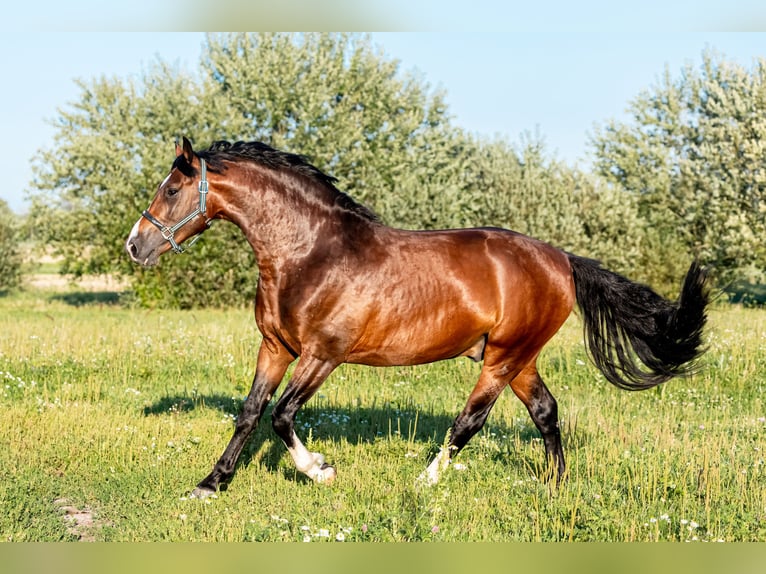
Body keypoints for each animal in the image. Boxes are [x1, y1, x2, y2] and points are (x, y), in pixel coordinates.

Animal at [126, 137, 709, 498]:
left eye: (172, 189)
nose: (135, 245)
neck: (310, 254)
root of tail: (561, 259)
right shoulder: (276, 349)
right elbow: (249, 413)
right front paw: (211, 484)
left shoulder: (323, 355)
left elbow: (283, 416)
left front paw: (321, 471)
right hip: (519, 357)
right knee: (546, 412)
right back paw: (554, 485)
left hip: (502, 358)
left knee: (471, 420)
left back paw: (427, 481)